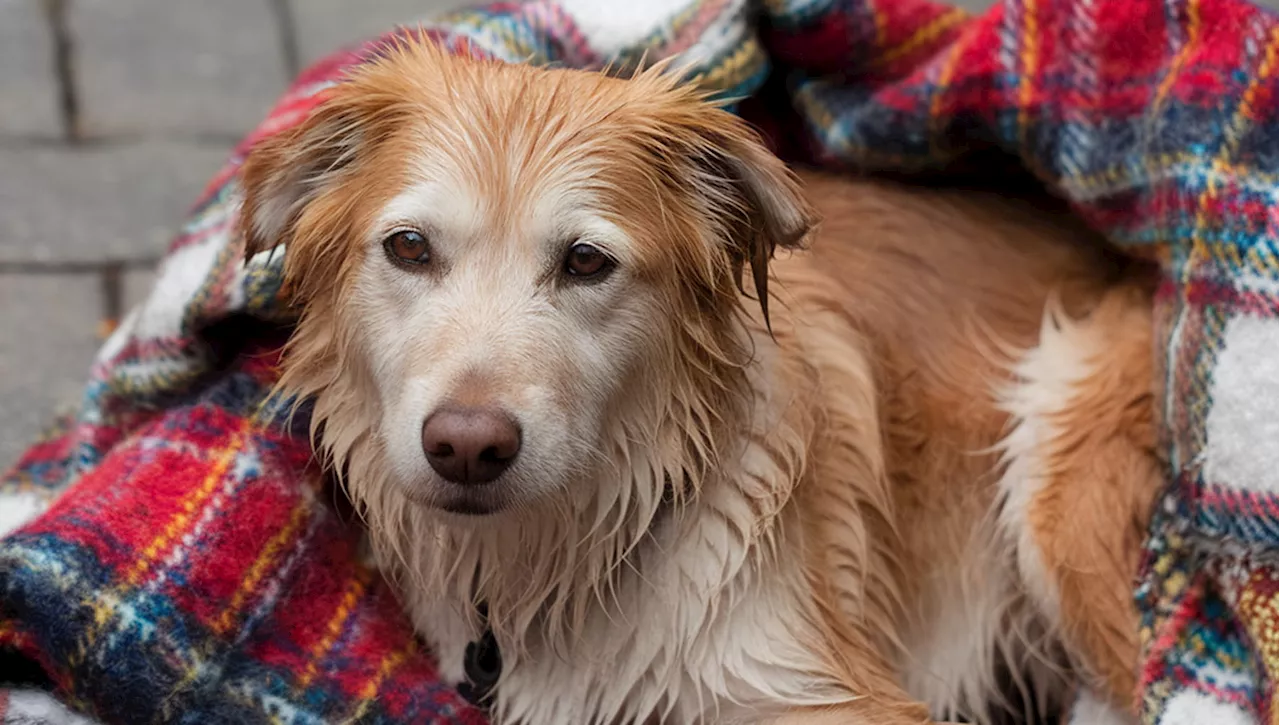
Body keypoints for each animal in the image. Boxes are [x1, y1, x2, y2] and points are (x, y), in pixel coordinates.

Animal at [235, 39, 1167, 725]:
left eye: (585, 261)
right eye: (410, 248)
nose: (467, 445)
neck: (564, 558)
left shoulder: (830, 691)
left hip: (1063, 472)